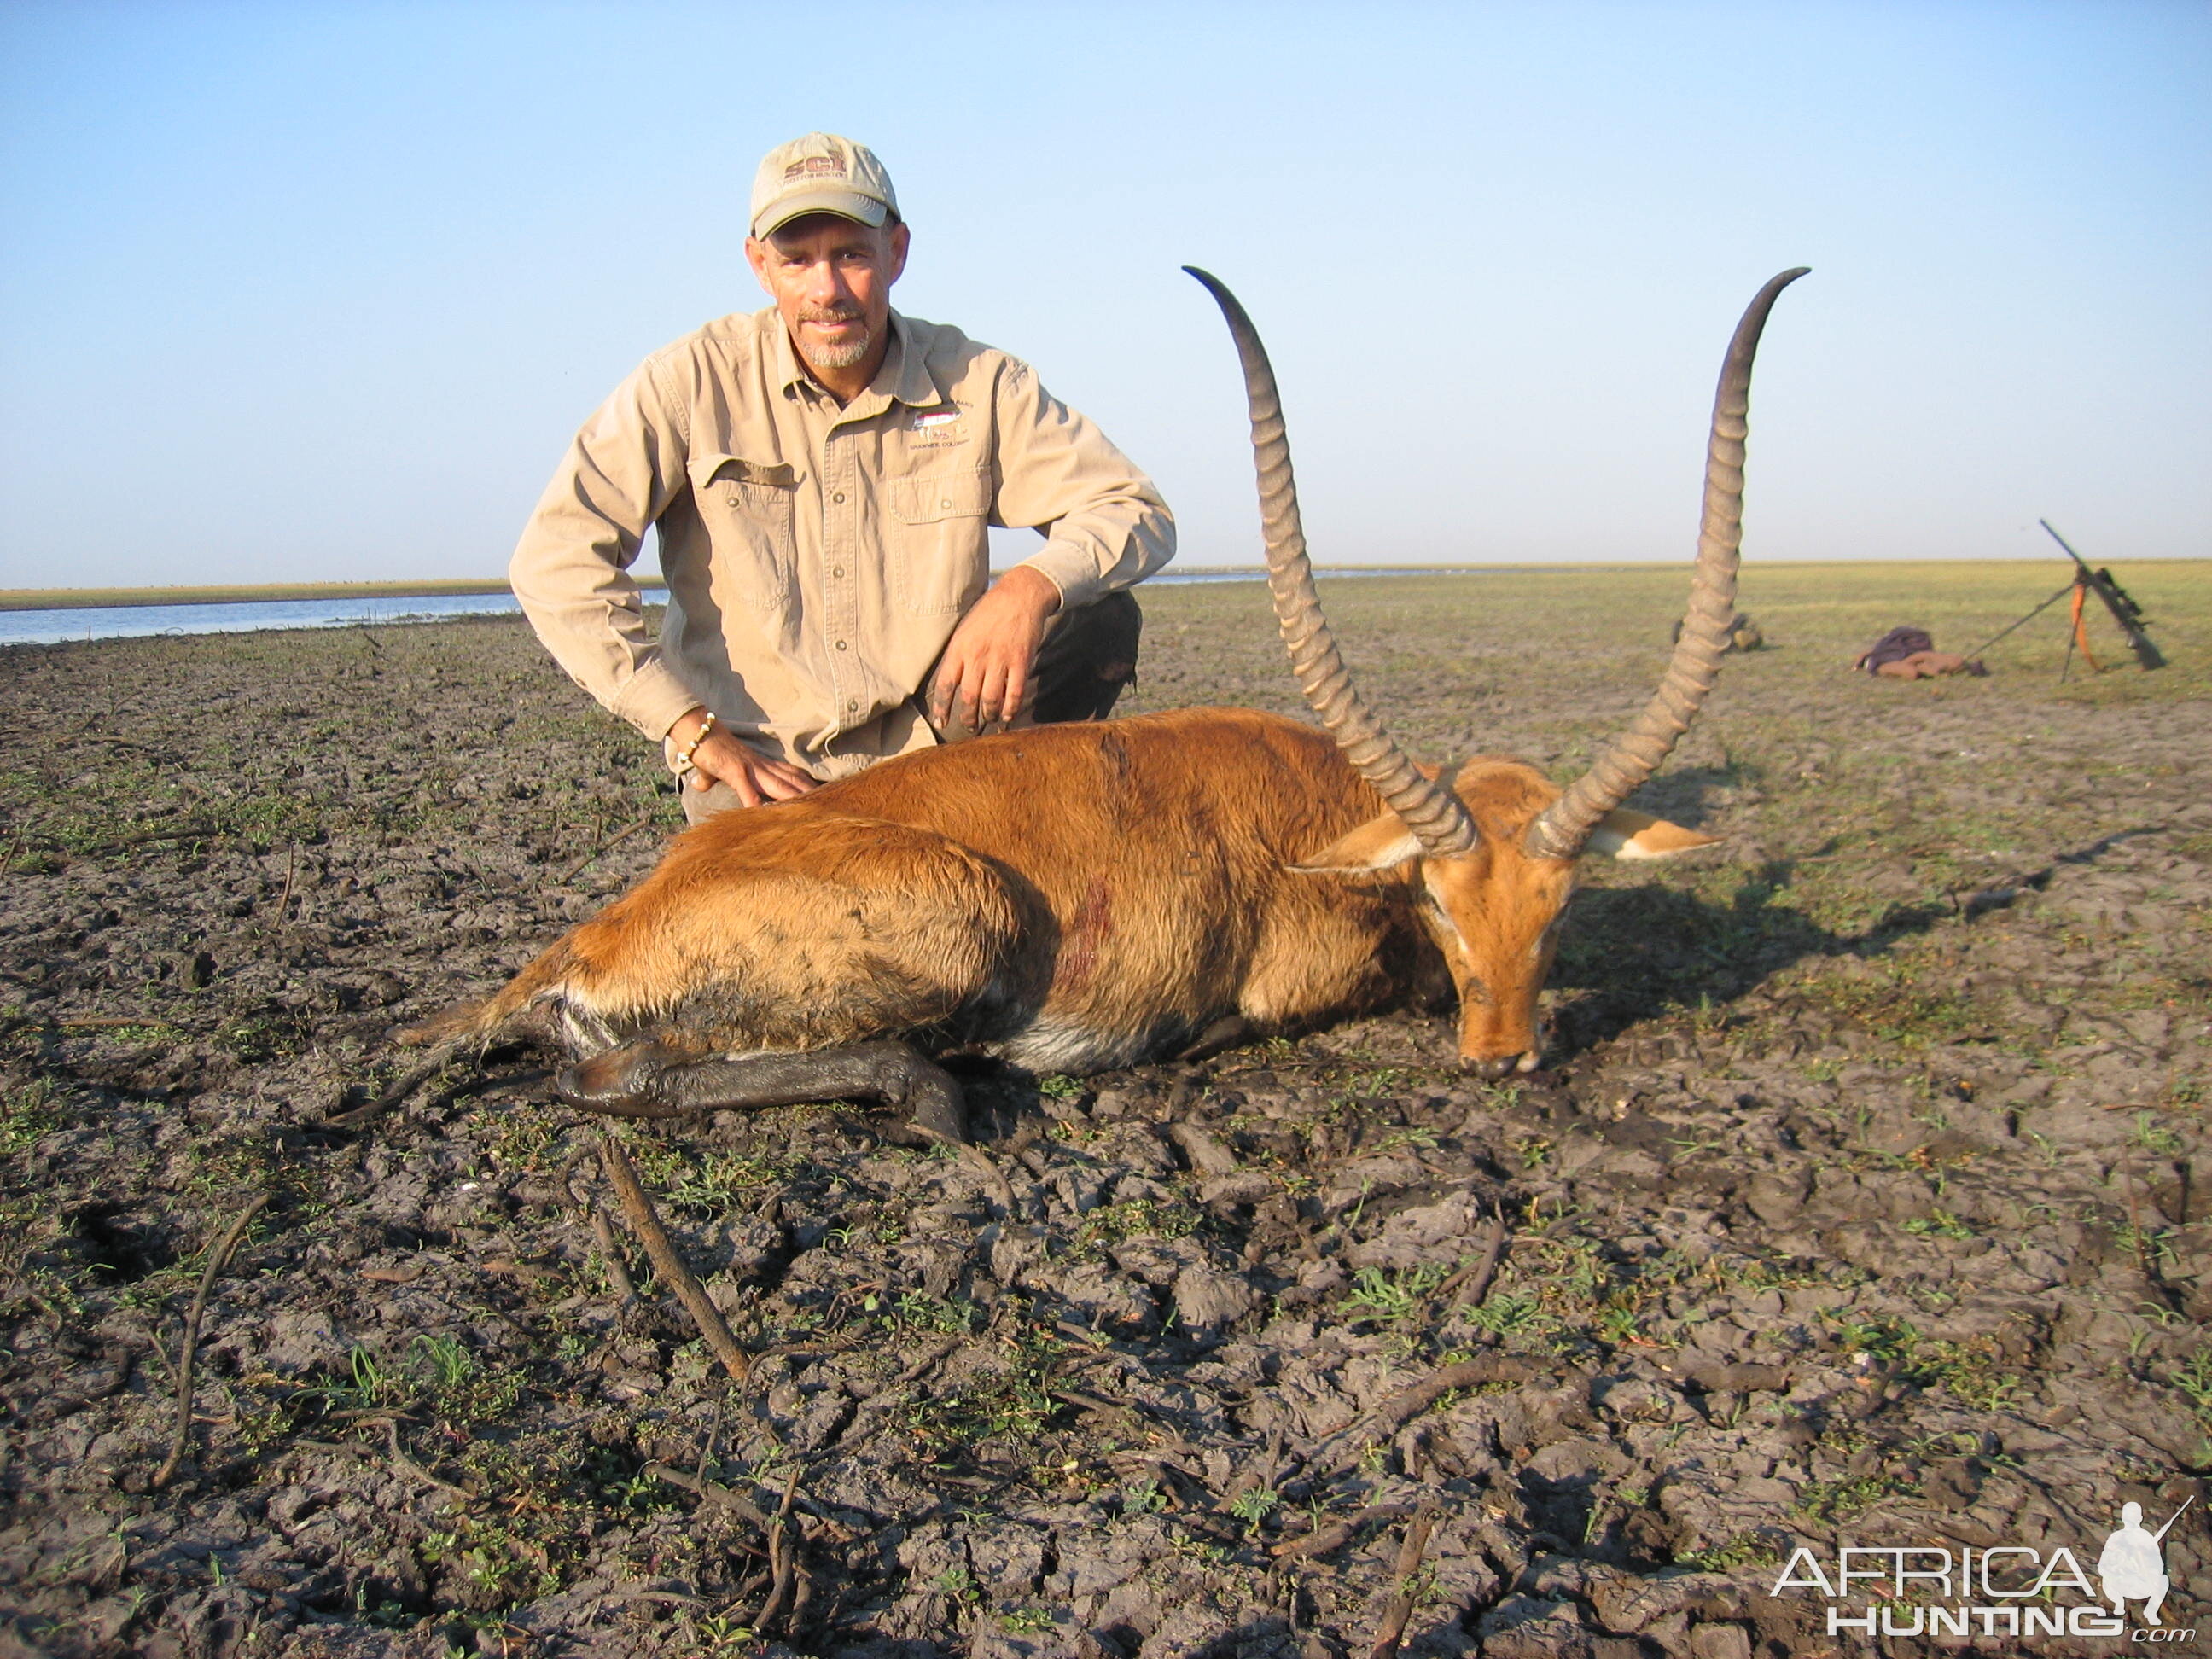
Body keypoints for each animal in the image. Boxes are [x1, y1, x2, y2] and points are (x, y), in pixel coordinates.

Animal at [398, 266, 1805, 1141]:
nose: (1504, 1052)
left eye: (1558, 909)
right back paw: (942, 1093)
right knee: (622, 1070)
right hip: (955, 933)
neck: (1323, 815)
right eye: (1442, 904)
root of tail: (588, 939)